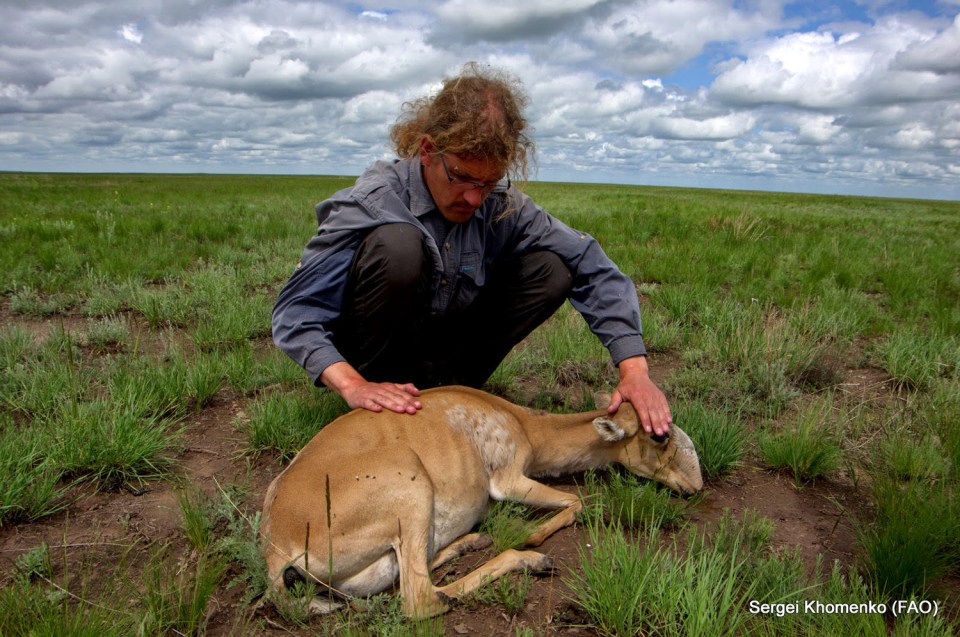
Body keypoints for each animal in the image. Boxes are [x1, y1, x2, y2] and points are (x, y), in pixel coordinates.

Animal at [258, 382, 700, 616]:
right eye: (660, 436)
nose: (695, 486)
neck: (521, 422)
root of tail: (278, 545)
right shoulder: (509, 479)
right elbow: (579, 502)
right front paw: (532, 537)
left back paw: (474, 541)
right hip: (412, 491)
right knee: (423, 599)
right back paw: (530, 558)